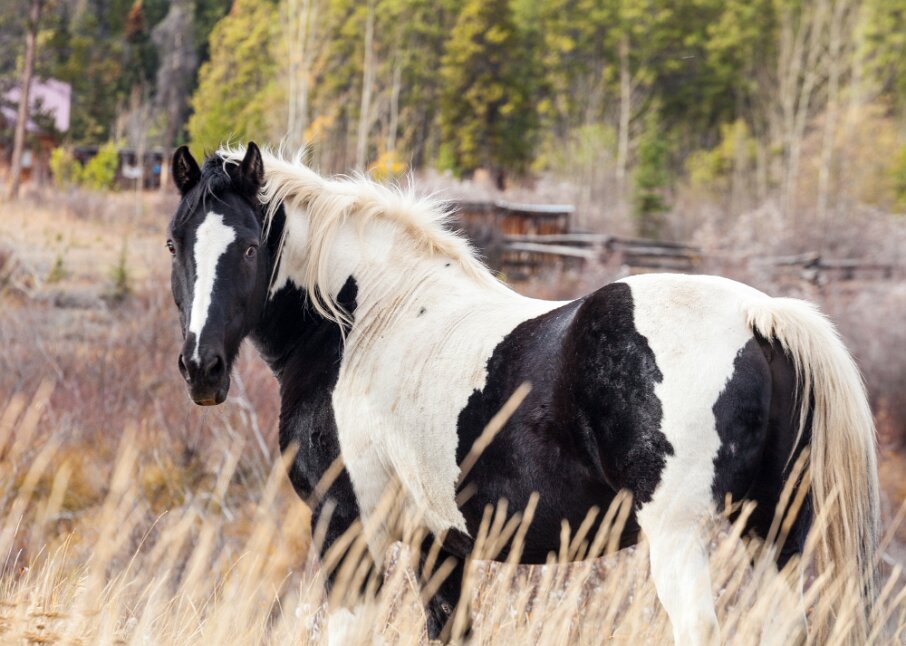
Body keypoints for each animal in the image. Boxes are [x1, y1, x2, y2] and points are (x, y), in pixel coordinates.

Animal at [164, 142, 879, 645]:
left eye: (250, 247)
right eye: (175, 243)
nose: (202, 369)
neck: (363, 323)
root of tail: (762, 317)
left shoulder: (348, 531)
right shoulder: (438, 546)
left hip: (682, 533)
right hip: (773, 529)